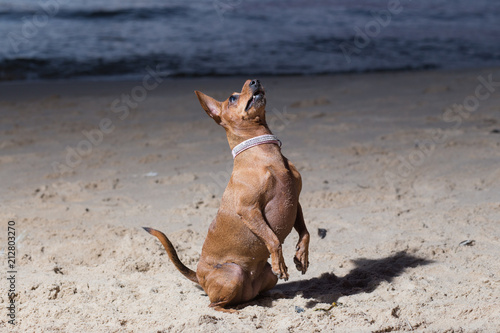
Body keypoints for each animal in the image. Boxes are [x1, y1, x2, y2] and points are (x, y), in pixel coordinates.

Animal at [145, 78, 308, 312]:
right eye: (232, 98)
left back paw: (269, 297)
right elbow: (273, 239)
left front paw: (302, 255)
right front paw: (281, 262)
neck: (265, 155)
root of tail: (199, 276)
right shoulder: (249, 210)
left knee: (252, 296)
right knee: (214, 304)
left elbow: (305, 233)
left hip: (265, 277)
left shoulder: (296, 202)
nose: (255, 80)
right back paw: (232, 310)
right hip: (233, 273)